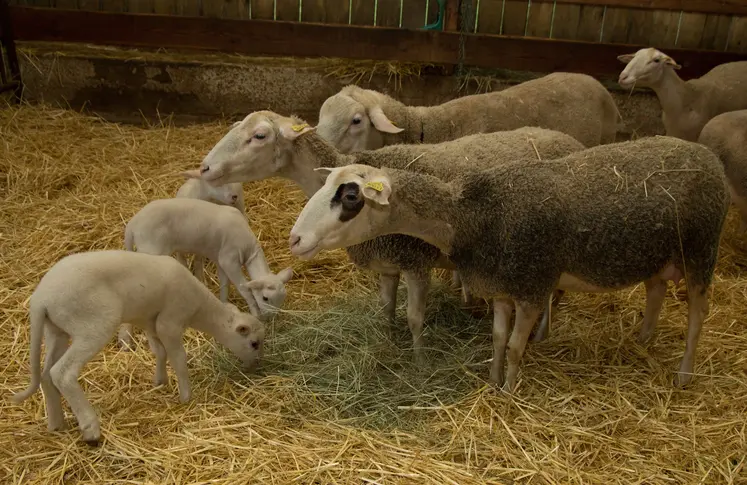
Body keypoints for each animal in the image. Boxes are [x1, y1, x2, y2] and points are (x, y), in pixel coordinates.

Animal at [10, 251, 266, 444]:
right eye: (254, 343)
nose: (255, 367)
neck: (200, 308)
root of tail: (40, 299)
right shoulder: (170, 322)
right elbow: (179, 358)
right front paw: (186, 396)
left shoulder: (150, 322)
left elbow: (160, 352)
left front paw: (160, 381)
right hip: (92, 326)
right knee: (62, 373)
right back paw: (91, 429)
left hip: (56, 330)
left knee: (45, 374)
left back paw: (56, 424)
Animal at [117, 196, 292, 348]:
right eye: (265, 297)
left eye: (281, 299)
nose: (271, 318)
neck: (249, 250)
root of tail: (132, 225)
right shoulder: (229, 260)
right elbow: (244, 289)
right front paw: (256, 314)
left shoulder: (221, 260)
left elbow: (224, 284)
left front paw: (225, 304)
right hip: (151, 250)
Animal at [196, 110, 588, 360]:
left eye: (259, 136)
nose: (205, 168)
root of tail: (569, 139)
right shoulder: (387, 263)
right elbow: (386, 308)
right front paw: (388, 341)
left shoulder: (415, 260)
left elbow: (415, 318)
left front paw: (419, 365)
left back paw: (541, 334)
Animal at [288, 134, 732, 392]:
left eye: (350, 196)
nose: (295, 239)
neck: (472, 217)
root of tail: (706, 154)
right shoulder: (500, 286)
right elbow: (499, 338)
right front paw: (492, 381)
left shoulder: (531, 285)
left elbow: (517, 346)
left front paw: (511, 390)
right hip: (659, 253)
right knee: (656, 289)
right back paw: (641, 342)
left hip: (701, 249)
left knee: (698, 314)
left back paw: (684, 375)